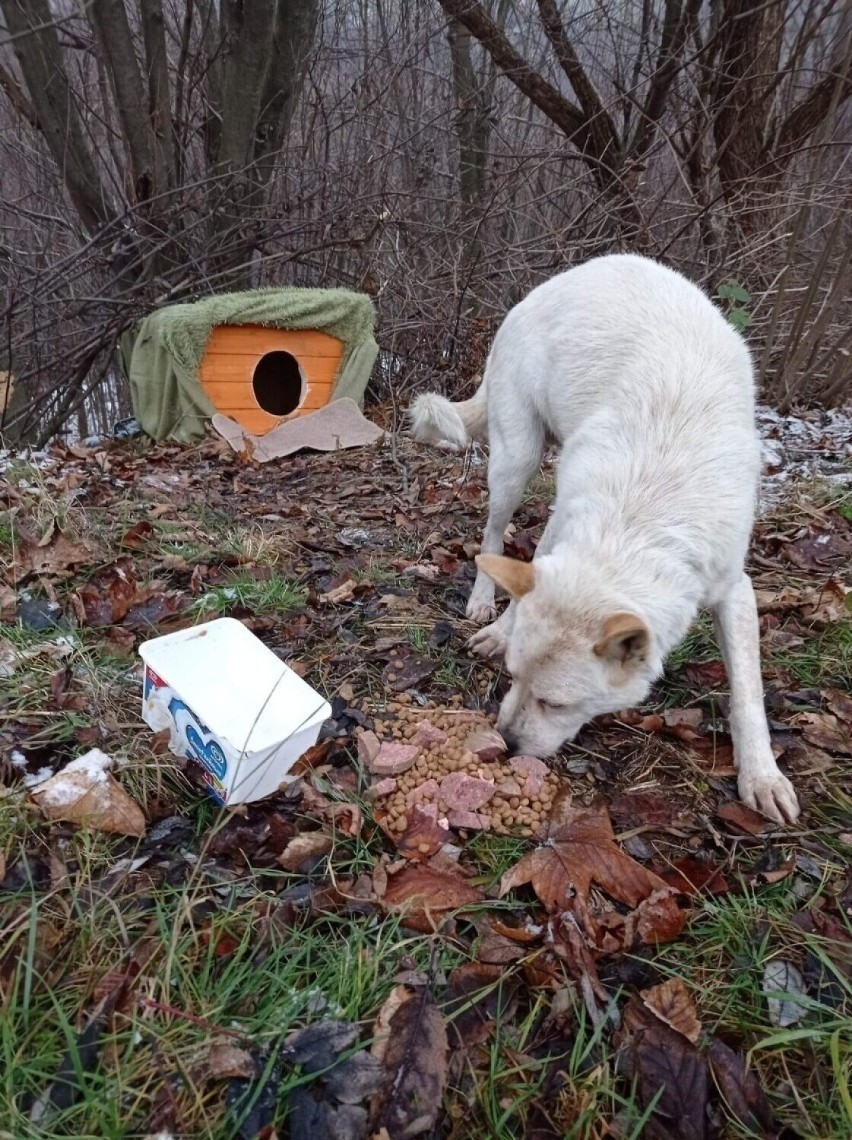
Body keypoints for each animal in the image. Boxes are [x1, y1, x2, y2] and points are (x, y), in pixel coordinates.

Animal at [410, 255, 798, 825]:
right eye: (512, 676)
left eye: (556, 703)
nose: (504, 745)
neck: (645, 513)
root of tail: (555, 281)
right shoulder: (566, 523)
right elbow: (529, 579)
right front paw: (501, 630)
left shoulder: (733, 589)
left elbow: (748, 694)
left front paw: (762, 776)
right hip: (517, 460)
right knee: (493, 536)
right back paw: (483, 601)